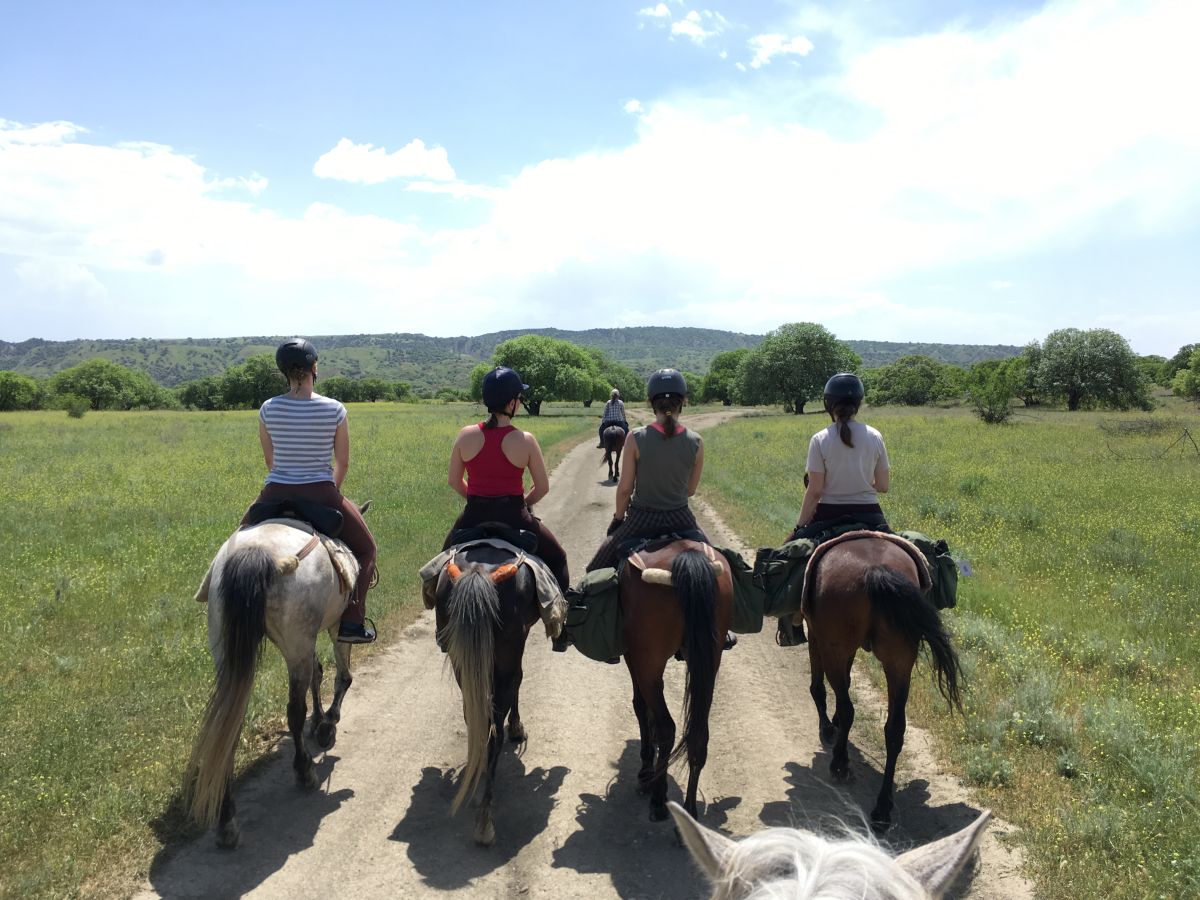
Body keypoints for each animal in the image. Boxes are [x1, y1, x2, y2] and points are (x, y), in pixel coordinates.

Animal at [184, 518, 362, 849]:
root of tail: (257, 553)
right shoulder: (336, 625)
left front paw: (319, 720)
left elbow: (317, 674)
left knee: (230, 723)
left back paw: (226, 820)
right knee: (294, 709)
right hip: (297, 638)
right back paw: (304, 772)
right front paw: (326, 725)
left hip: (229, 647)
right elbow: (341, 676)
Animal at [434, 542, 542, 844]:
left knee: (475, 720)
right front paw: (517, 727)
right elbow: (520, 681)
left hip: (461, 663)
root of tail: (478, 570)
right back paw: (485, 820)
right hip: (504, 662)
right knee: (494, 735)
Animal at [619, 542, 729, 825]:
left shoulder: (633, 658)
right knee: (699, 733)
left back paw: (658, 800)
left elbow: (640, 707)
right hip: (709, 664)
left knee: (666, 726)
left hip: (649, 664)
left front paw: (646, 771)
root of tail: (686, 556)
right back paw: (689, 811)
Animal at [801, 532, 960, 835]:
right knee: (895, 729)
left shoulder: (816, 636)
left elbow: (819, 687)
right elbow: (846, 682)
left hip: (835, 648)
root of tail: (876, 570)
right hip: (899, 660)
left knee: (848, 707)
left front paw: (827, 728)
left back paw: (840, 764)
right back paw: (882, 809)